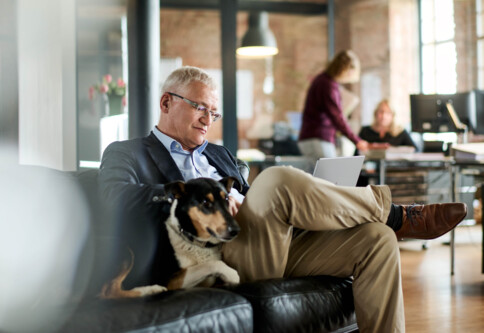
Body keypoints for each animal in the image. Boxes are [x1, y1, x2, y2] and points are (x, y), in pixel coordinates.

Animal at [99, 176, 241, 298]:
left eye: (226, 200)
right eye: (206, 202)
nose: (236, 230)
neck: (193, 241)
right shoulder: (173, 280)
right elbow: (212, 264)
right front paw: (232, 274)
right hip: (125, 250)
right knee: (110, 292)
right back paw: (150, 290)